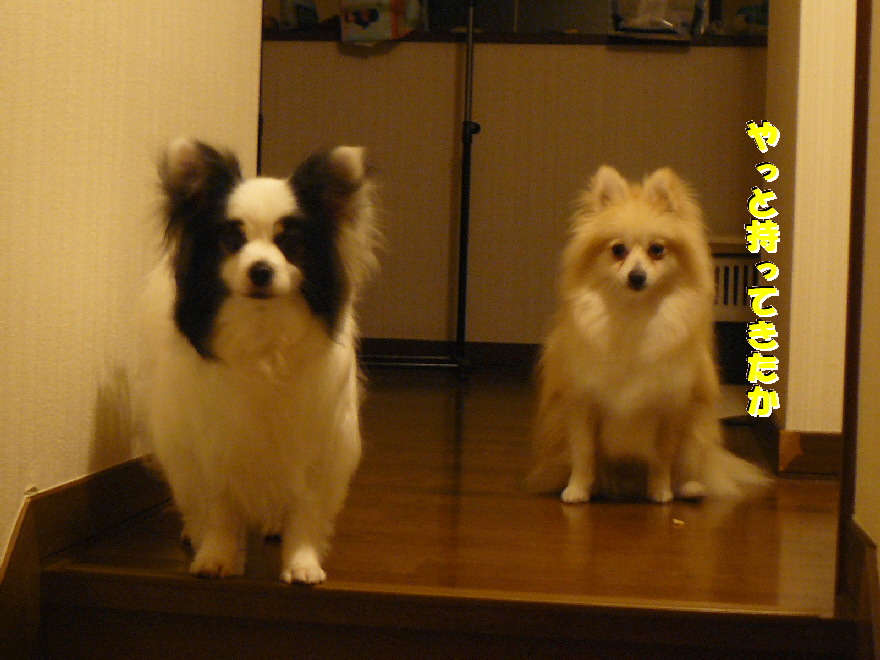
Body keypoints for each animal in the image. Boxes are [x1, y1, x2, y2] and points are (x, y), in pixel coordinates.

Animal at [137, 138, 378, 583]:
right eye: (232, 240)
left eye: (290, 244)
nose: (261, 270)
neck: (263, 327)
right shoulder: (213, 443)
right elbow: (218, 509)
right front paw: (216, 557)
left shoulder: (313, 444)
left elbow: (305, 509)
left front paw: (302, 563)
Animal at [527, 165, 769, 503]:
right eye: (618, 250)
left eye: (657, 250)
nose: (636, 276)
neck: (635, 314)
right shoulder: (582, 403)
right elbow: (584, 453)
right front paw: (578, 489)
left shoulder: (669, 407)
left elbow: (663, 456)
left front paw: (660, 491)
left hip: (697, 428)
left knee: (689, 462)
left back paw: (689, 486)